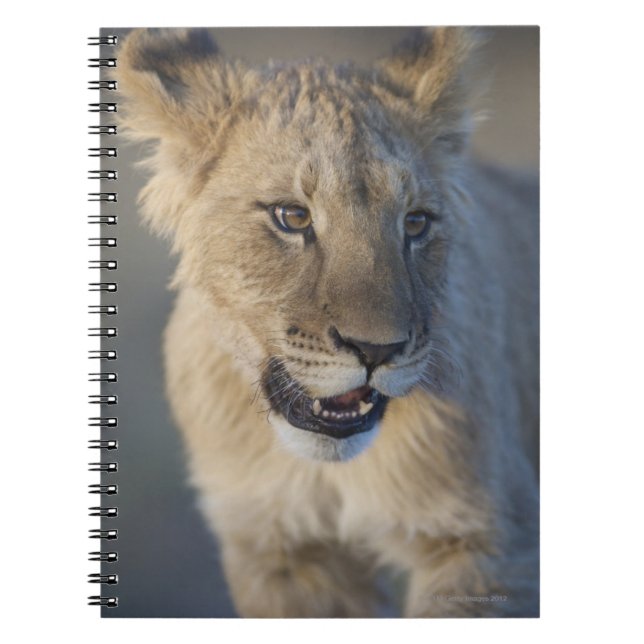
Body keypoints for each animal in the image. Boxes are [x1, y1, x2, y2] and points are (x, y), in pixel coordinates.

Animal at [117, 27, 539, 617]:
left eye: (415, 223)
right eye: (292, 217)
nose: (376, 350)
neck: (324, 471)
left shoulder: (489, 542)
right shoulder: (278, 548)